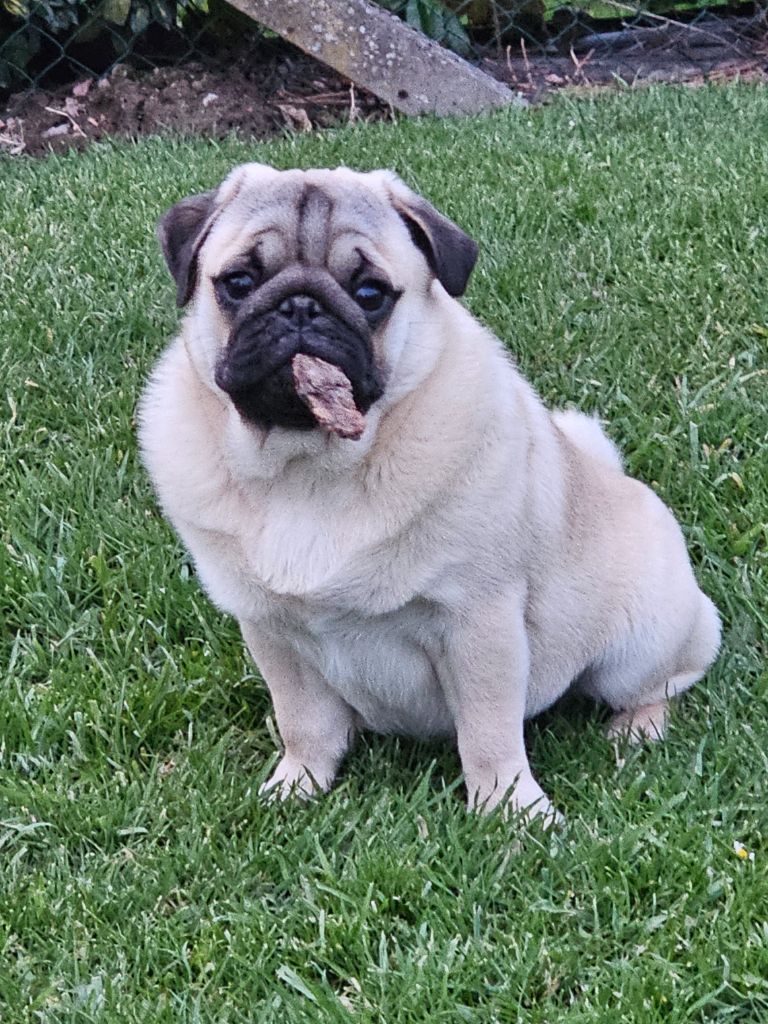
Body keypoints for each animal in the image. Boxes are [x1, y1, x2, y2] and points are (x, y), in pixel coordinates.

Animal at [141, 167, 724, 823]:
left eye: (371, 293)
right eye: (237, 283)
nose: (301, 306)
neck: (308, 469)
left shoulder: (477, 621)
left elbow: (489, 731)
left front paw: (511, 810)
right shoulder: (271, 632)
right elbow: (304, 722)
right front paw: (299, 783)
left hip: (640, 641)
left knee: (668, 680)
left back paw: (638, 728)